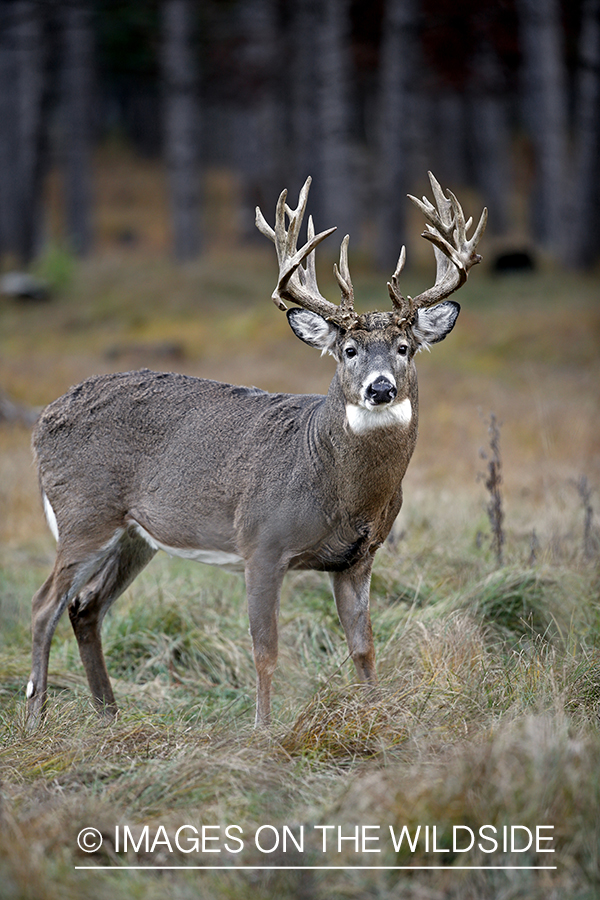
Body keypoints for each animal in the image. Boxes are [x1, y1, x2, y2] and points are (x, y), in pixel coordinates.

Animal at [27, 172, 488, 728]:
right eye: (348, 350)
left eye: (405, 348)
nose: (380, 388)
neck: (341, 490)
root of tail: (43, 419)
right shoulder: (261, 543)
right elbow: (265, 651)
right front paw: (264, 731)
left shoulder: (358, 558)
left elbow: (363, 648)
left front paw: (374, 718)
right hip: (83, 512)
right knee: (43, 605)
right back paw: (36, 718)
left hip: (135, 536)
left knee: (85, 607)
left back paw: (110, 715)